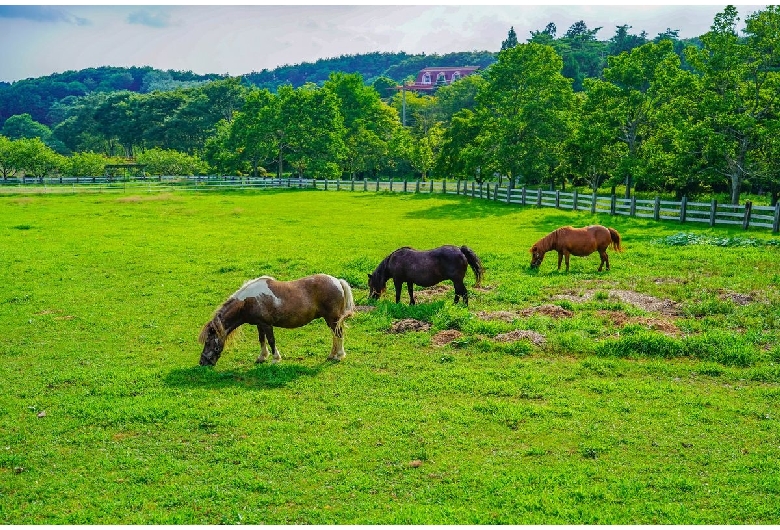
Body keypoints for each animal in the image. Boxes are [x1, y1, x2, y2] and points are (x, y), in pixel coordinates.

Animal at [198, 274, 354, 366]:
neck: (248, 301)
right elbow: (262, 340)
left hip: (332, 318)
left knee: (338, 334)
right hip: (330, 319)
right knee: (335, 336)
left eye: (208, 342)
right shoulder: (259, 324)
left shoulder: (267, 324)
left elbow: (271, 340)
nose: (202, 362)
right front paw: (262, 357)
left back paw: (339, 356)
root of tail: (337, 281)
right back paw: (332, 355)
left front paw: (275, 358)